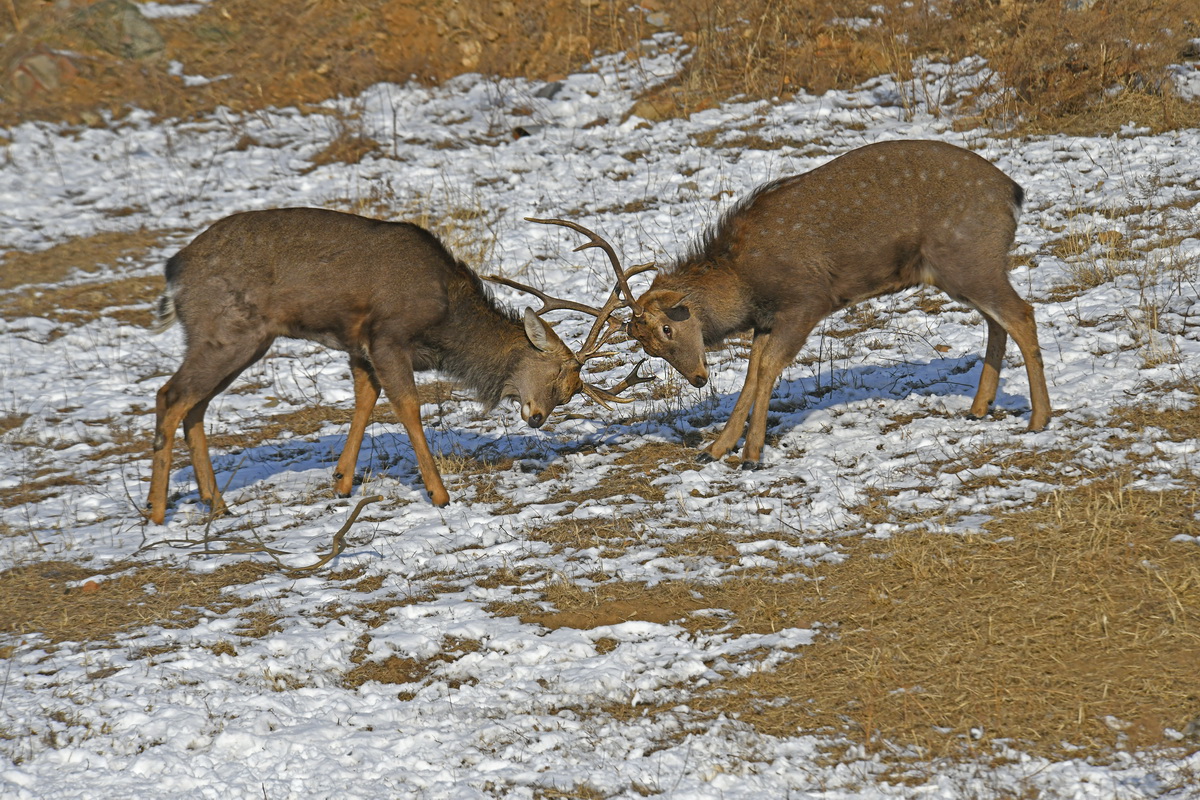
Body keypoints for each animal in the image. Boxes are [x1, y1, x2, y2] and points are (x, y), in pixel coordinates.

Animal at [148, 205, 648, 525]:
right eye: (560, 374)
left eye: (570, 391)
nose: (539, 417)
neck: (446, 322)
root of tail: (174, 271)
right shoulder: (388, 334)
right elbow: (408, 406)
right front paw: (440, 494)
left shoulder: (358, 346)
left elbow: (365, 398)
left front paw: (341, 481)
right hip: (230, 329)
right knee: (171, 395)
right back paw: (156, 511)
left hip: (237, 340)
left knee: (194, 405)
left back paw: (216, 504)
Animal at [535, 140, 1051, 470]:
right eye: (645, 347)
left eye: (666, 328)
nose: (698, 378)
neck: (745, 284)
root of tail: (1014, 193)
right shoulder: (767, 320)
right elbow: (752, 373)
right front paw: (715, 449)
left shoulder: (806, 300)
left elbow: (767, 371)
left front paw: (751, 456)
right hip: (960, 270)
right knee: (997, 320)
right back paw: (979, 408)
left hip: (968, 255)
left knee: (1021, 313)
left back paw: (1038, 419)